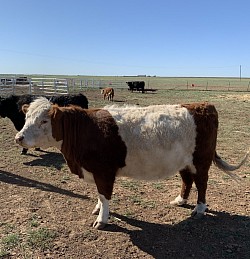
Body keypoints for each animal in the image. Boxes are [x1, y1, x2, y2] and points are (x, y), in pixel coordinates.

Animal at [15, 97, 248, 230]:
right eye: (26, 117)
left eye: (44, 120)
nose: (19, 138)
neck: (85, 130)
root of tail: (203, 105)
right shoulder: (96, 172)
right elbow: (99, 195)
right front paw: (97, 209)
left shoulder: (104, 172)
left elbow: (105, 195)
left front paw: (102, 220)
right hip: (184, 162)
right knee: (187, 180)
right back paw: (180, 201)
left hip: (201, 161)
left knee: (202, 183)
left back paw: (199, 209)